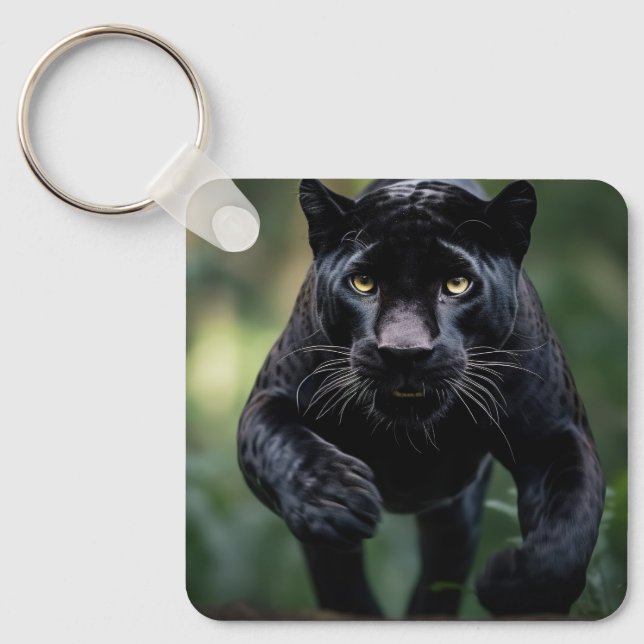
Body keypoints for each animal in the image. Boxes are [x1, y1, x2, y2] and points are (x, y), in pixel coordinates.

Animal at [237, 178, 605, 617]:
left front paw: (511, 585)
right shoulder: (270, 399)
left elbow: (569, 529)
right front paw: (335, 499)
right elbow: (283, 445)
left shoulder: (555, 436)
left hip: (456, 516)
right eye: (363, 282)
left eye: (457, 284)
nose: (404, 352)